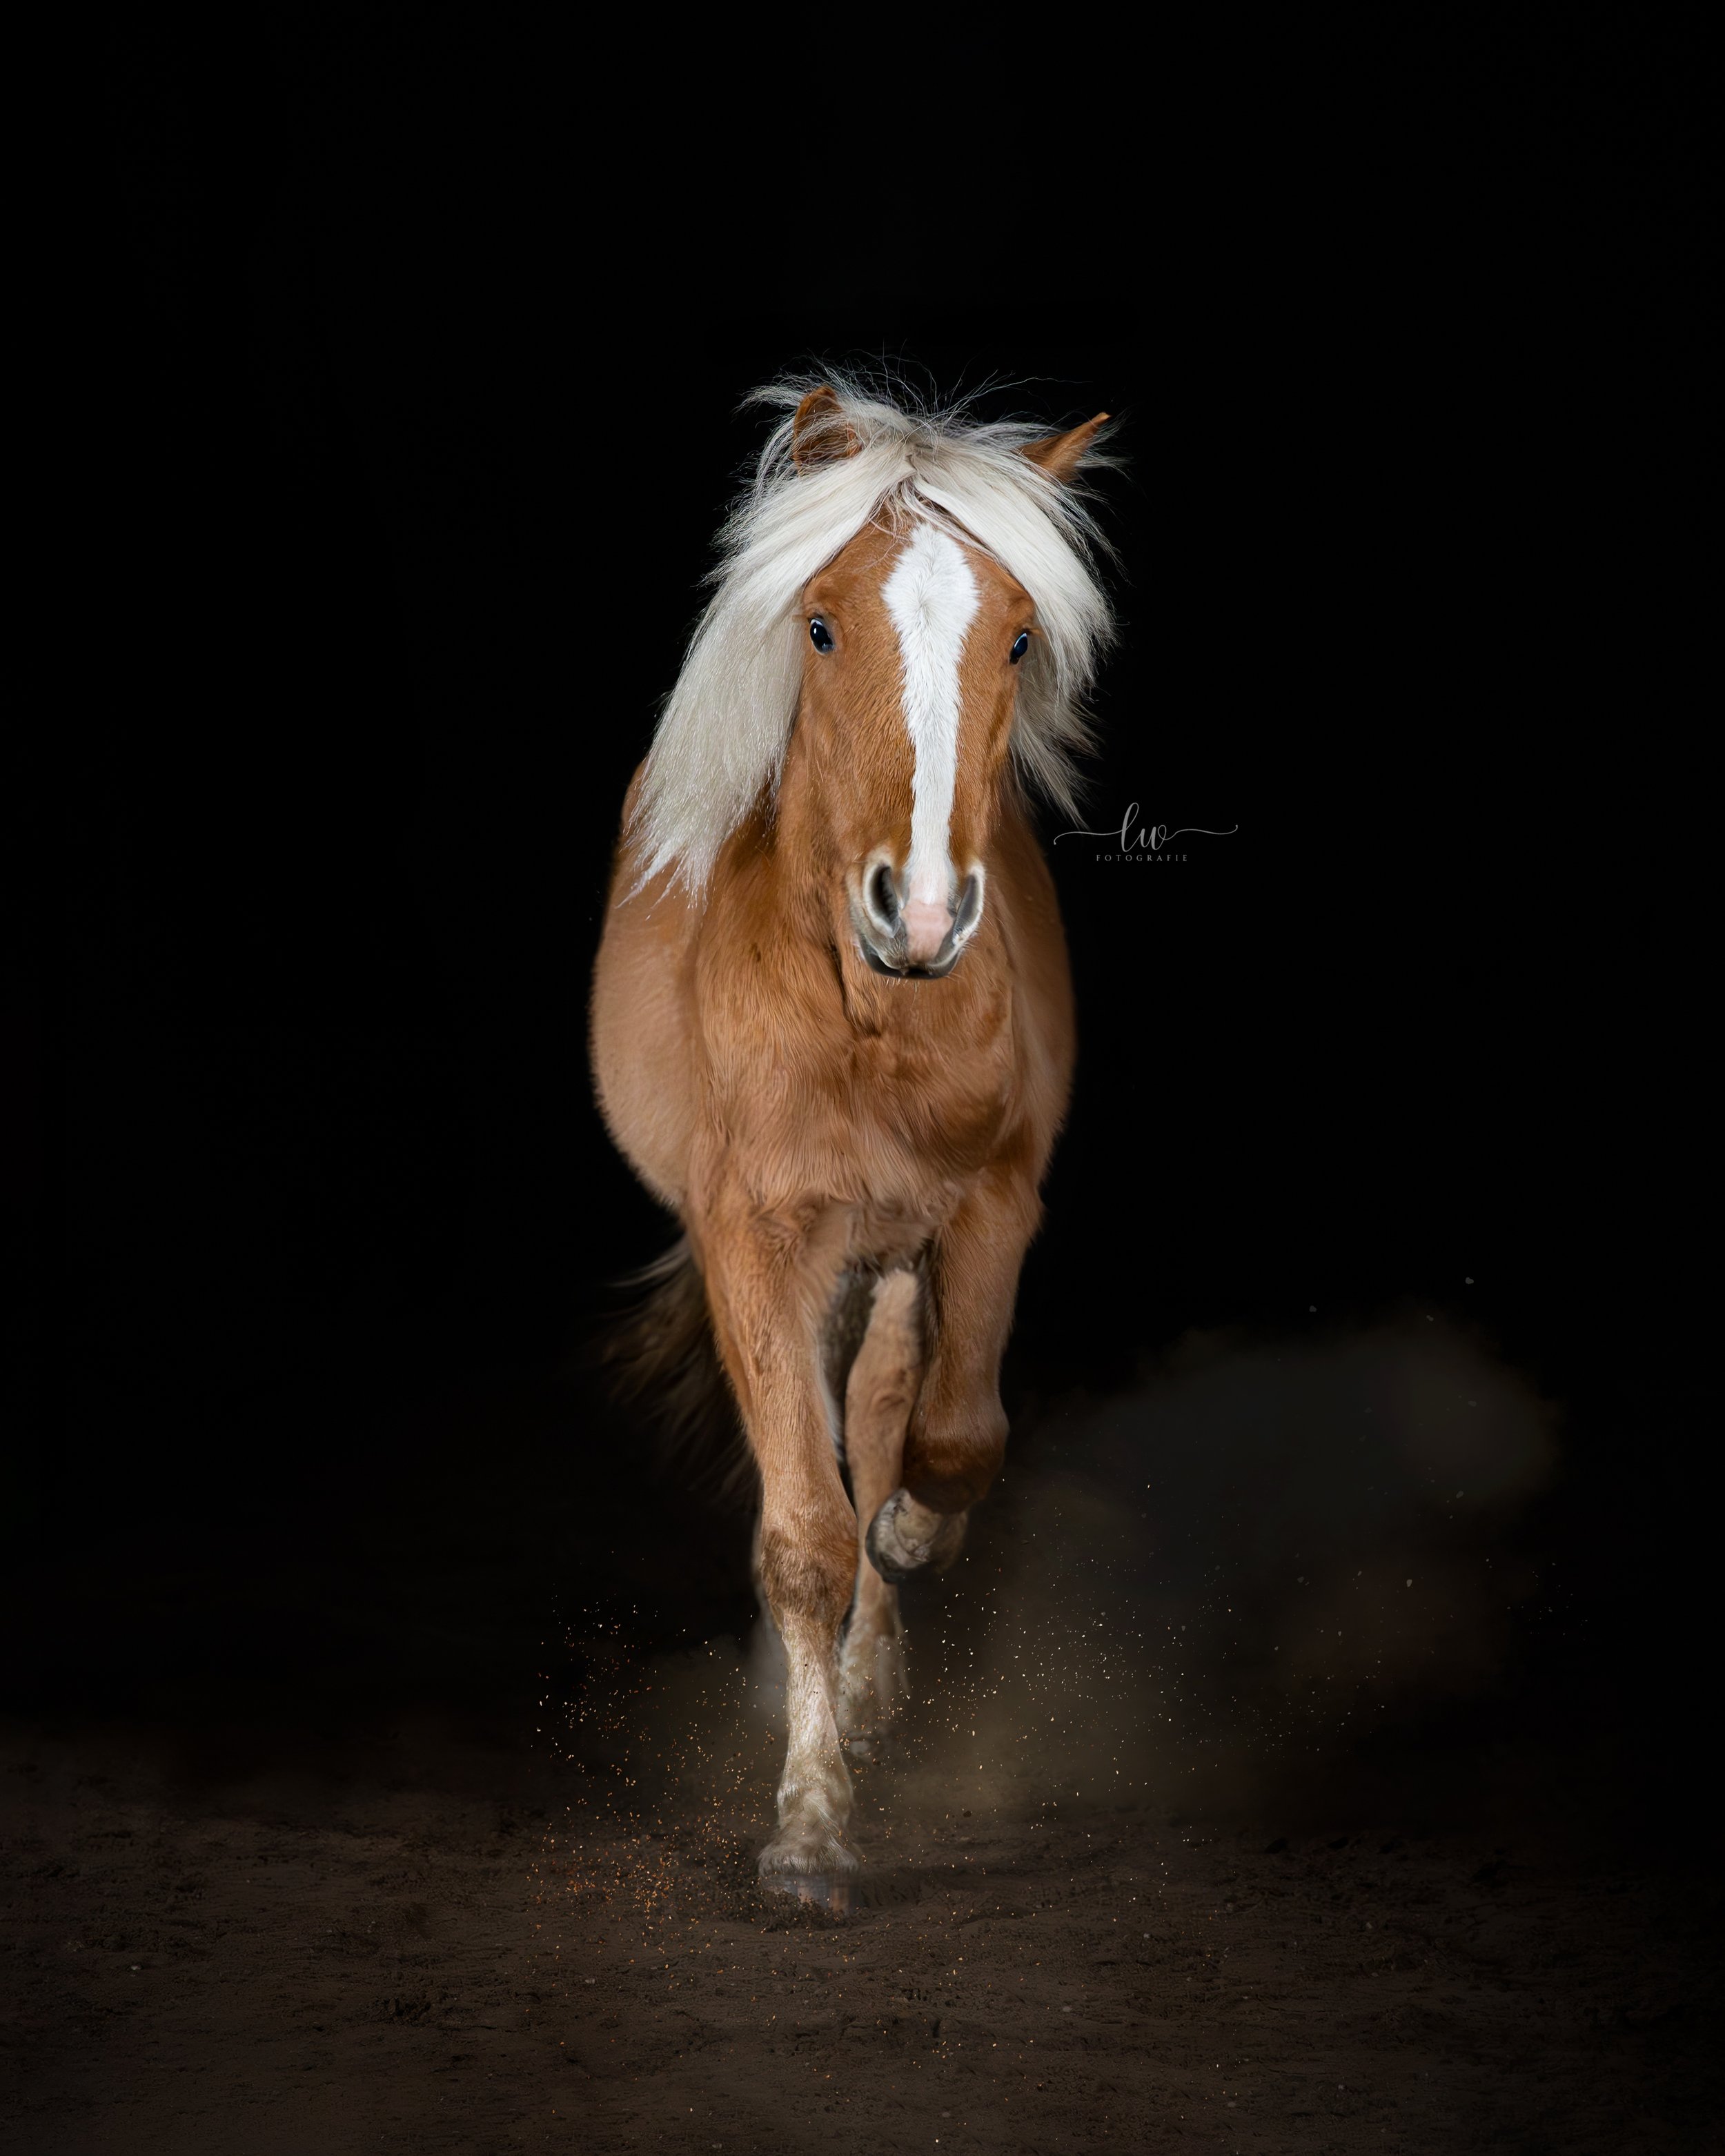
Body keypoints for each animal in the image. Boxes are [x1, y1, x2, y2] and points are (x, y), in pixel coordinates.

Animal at [590, 378, 1115, 1898]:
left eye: (1018, 636)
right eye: (820, 625)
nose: (921, 911)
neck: (867, 1013)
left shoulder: (989, 1208)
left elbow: (947, 1442)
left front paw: (908, 1552)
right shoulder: (755, 1238)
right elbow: (803, 1531)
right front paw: (809, 1826)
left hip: (886, 1260)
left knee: (881, 1419)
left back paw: (873, 1660)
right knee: (817, 1452)